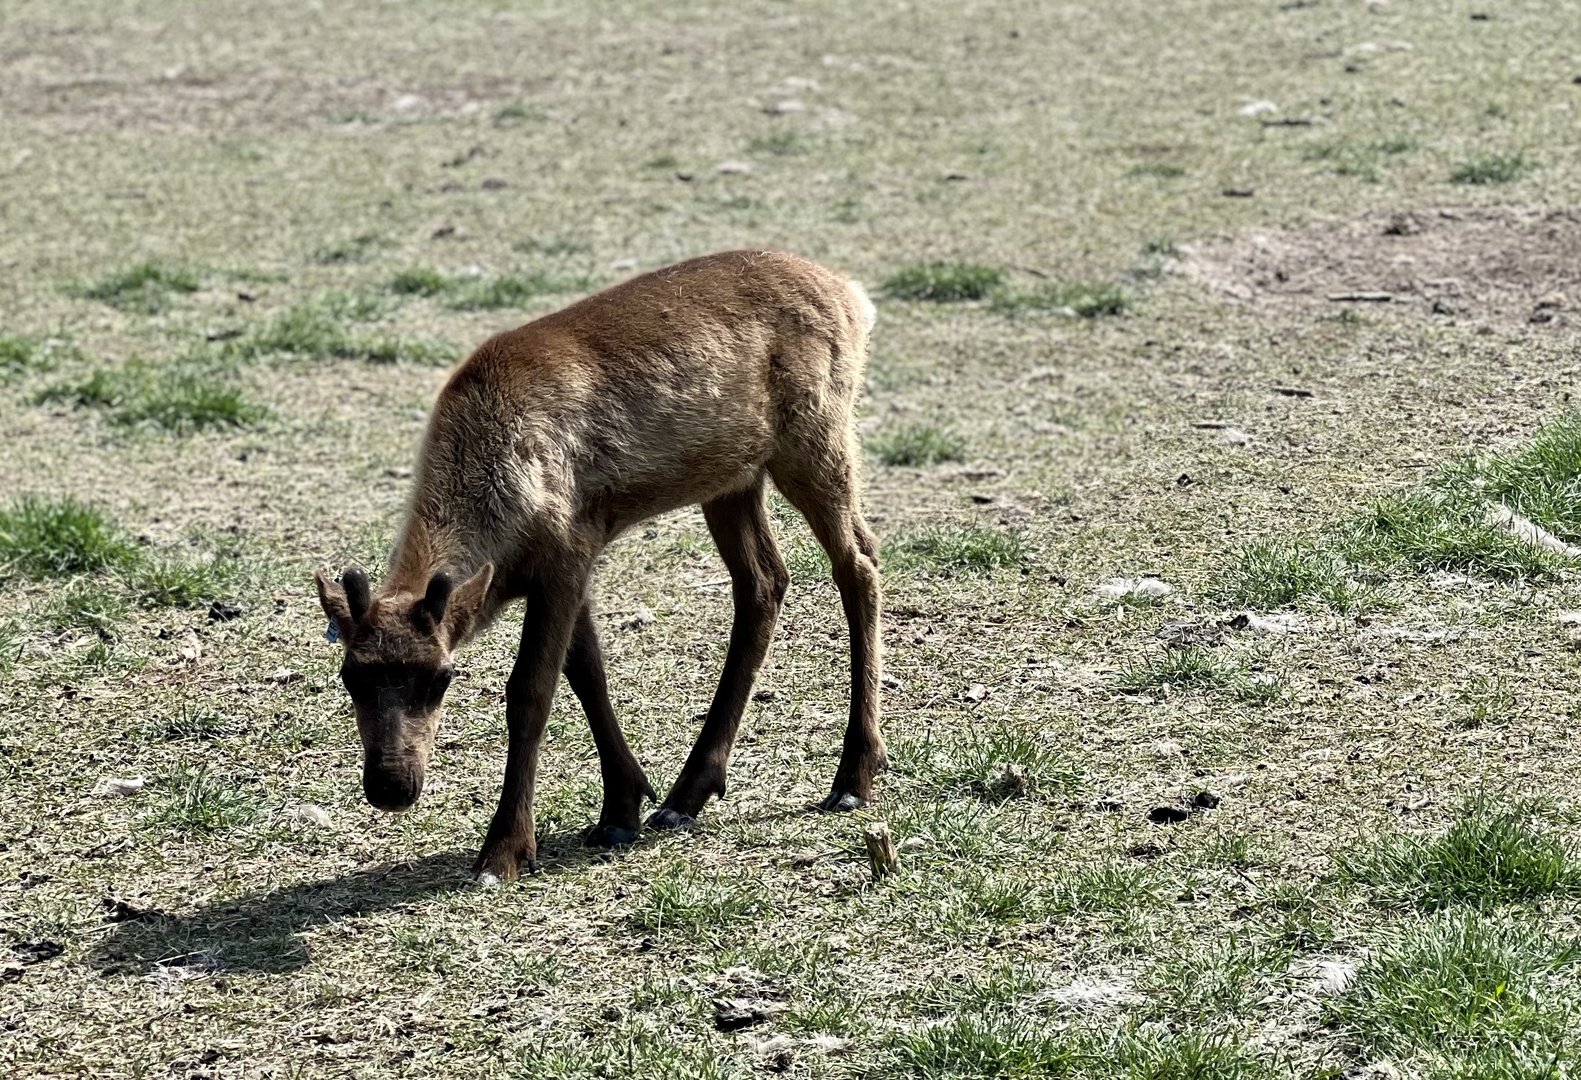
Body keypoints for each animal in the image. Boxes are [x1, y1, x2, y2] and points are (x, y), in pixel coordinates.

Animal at [314, 250, 885, 884]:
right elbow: (587, 672)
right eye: (350, 676)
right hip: (732, 476)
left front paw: (504, 850)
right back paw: (686, 794)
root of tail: (855, 296)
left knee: (859, 561)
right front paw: (621, 809)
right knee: (764, 581)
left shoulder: (566, 549)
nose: (391, 786)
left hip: (815, 436)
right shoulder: (570, 559)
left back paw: (853, 777)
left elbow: (531, 689)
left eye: (441, 677)